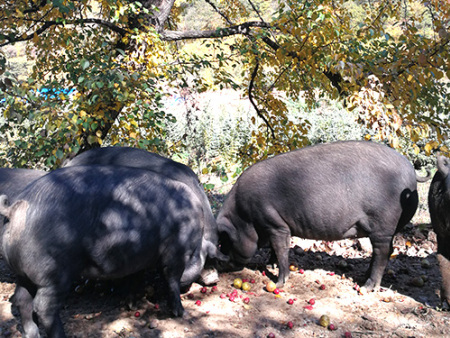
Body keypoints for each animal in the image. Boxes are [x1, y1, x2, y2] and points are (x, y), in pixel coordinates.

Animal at [0, 166, 225, 338]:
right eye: (205, 260)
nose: (214, 280)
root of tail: (15, 208)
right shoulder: (176, 251)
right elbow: (171, 279)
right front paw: (181, 313)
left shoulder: (138, 257)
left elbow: (136, 277)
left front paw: (132, 305)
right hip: (54, 273)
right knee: (43, 307)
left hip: (23, 272)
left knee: (21, 300)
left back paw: (32, 334)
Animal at [218, 141, 422, 290]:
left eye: (224, 242)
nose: (221, 267)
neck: (244, 217)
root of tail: (411, 170)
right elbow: (274, 250)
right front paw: (270, 266)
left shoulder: (276, 224)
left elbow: (281, 249)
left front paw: (279, 283)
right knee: (386, 251)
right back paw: (364, 278)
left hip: (382, 224)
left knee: (383, 252)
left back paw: (367, 287)